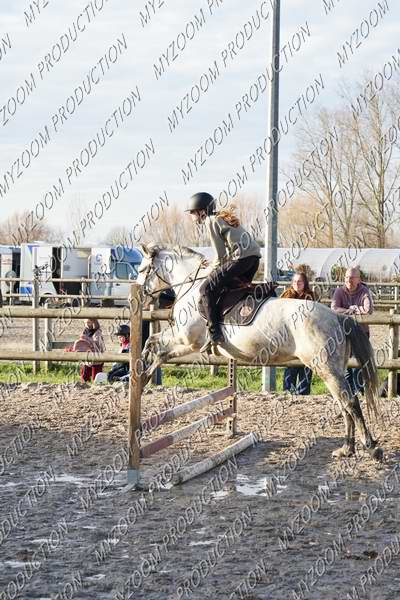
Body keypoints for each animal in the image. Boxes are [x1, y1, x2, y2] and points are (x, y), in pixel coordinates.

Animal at [136, 244, 382, 461]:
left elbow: (154, 345)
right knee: (344, 404)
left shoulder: (187, 341)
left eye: (141, 270)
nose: (141, 298)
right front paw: (143, 375)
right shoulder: (183, 340)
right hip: (334, 369)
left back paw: (370, 447)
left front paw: (142, 374)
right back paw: (346, 449)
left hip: (325, 368)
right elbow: (156, 347)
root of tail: (337, 317)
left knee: (350, 402)